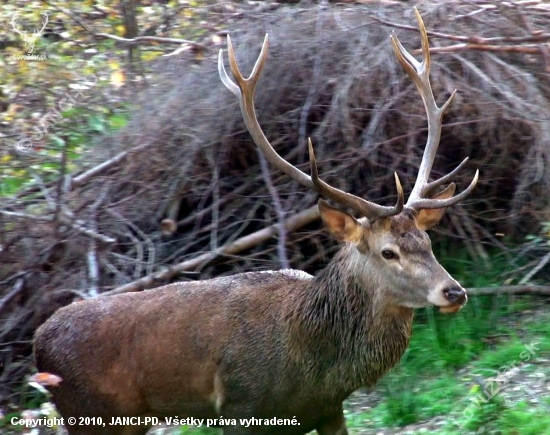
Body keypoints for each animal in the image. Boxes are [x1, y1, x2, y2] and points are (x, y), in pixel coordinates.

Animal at [34, 9, 480, 435]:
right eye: (388, 252)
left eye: (427, 242)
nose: (454, 291)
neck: (312, 367)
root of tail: (39, 341)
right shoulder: (239, 408)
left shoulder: (329, 410)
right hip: (91, 413)